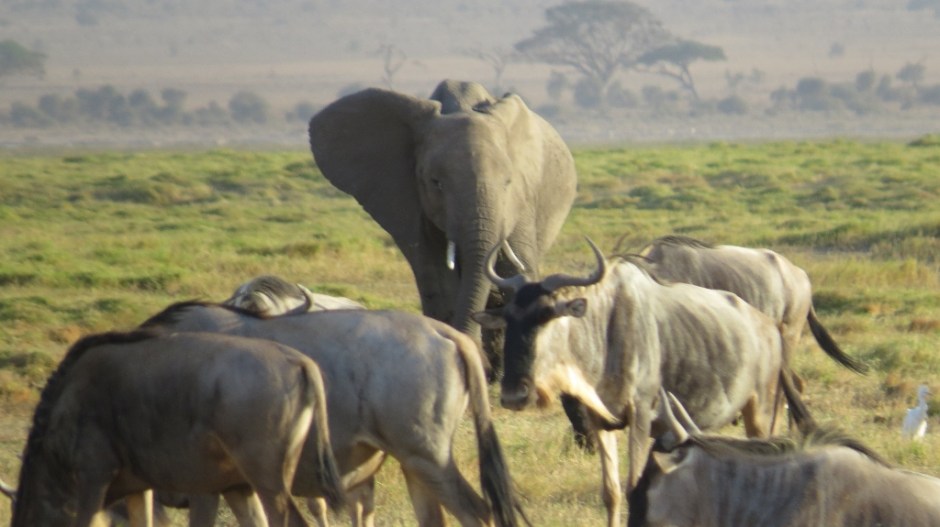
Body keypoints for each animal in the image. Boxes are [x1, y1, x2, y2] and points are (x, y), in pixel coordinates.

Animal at [308, 79, 577, 366]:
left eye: (508, 182)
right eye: (436, 183)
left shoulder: (521, 200)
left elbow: (513, 269)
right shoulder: (408, 198)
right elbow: (437, 275)